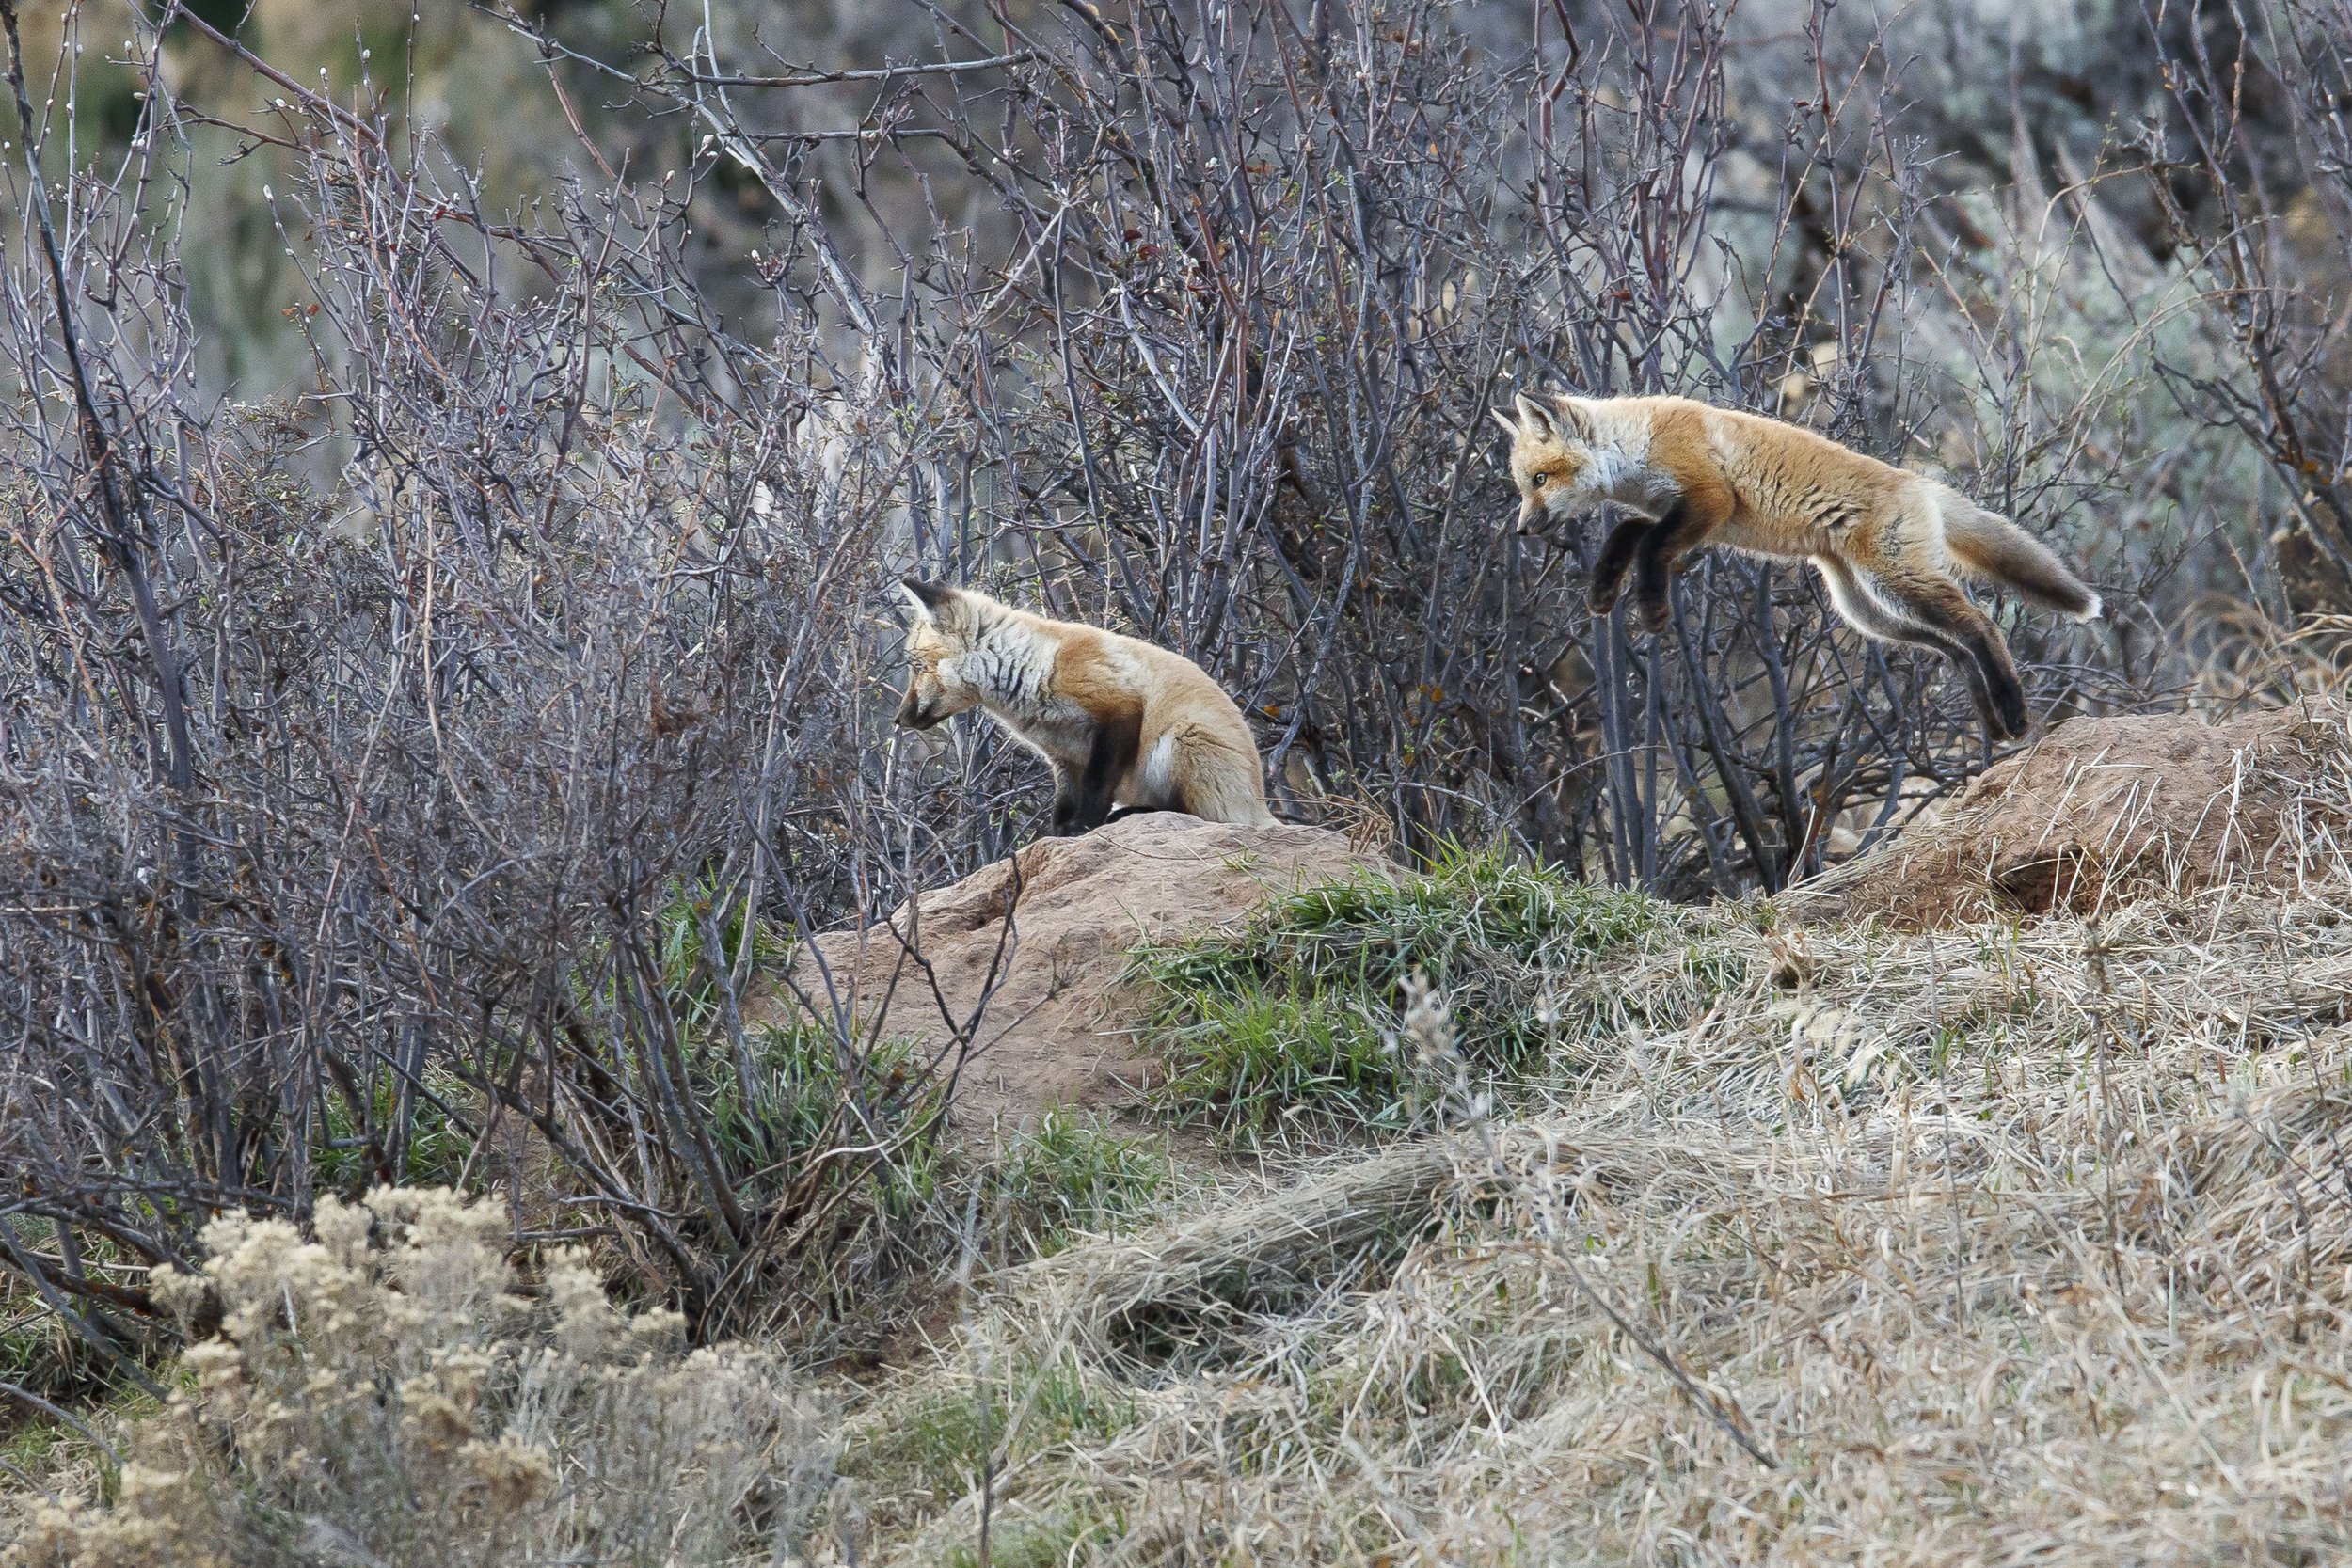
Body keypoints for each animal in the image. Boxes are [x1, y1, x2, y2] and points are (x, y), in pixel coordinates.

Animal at [893, 579, 1276, 835]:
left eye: (918, 668)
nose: (898, 719)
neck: (1036, 669)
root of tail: (1261, 804)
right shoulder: (1064, 755)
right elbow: (1062, 805)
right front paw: (1060, 835)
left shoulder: (1120, 709)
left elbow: (1095, 785)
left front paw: (1085, 827)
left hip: (1183, 739)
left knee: (1200, 817)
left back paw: (1136, 815)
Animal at [1492, 392, 2101, 740]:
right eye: (1522, 487)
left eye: (1539, 480)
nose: (1520, 530)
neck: (1637, 445)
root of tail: (1920, 482)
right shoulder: (1677, 513)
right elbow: (1626, 534)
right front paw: (1602, 590)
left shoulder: (1711, 501)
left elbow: (1648, 549)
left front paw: (1651, 608)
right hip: (1865, 609)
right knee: (1953, 647)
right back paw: (1990, 716)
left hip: (1897, 583)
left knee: (1983, 627)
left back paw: (2013, 711)